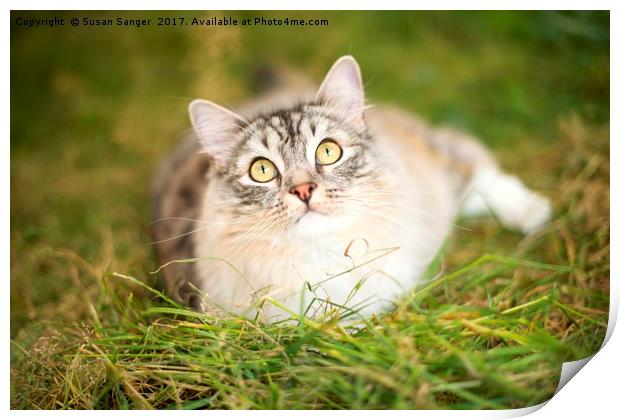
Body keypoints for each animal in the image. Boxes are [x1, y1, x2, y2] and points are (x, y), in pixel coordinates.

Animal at [151, 55, 552, 324]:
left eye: (328, 151)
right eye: (262, 170)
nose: (304, 190)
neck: (324, 268)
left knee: (472, 167)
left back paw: (529, 212)